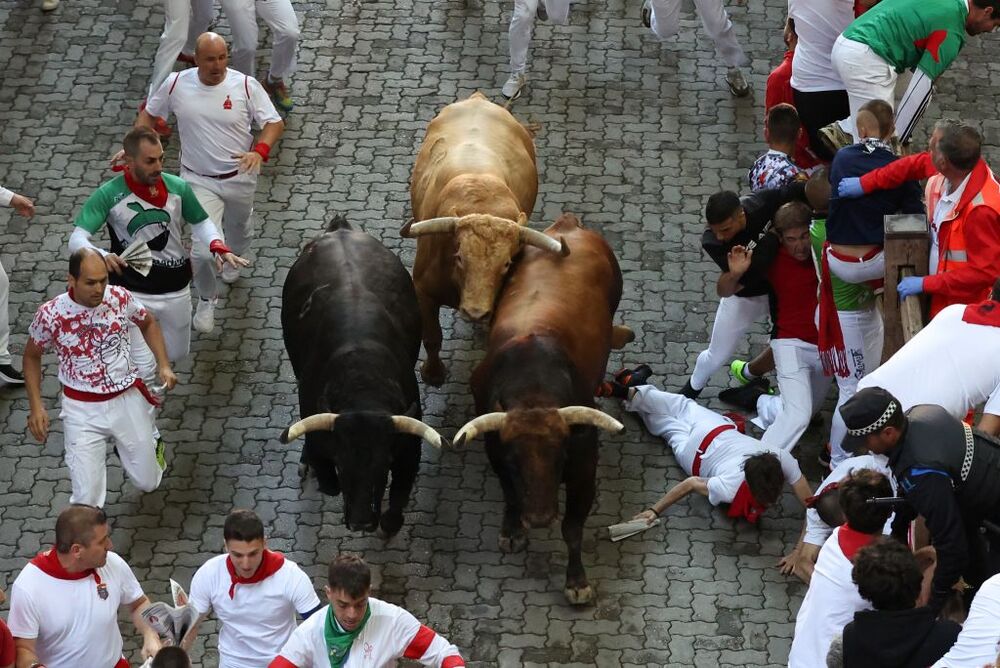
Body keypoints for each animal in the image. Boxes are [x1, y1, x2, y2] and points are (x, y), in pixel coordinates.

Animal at [280, 217, 440, 536]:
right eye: (342, 465)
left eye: (383, 466)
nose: (361, 521)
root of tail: (340, 228)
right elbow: (328, 478)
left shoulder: (408, 451)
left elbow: (399, 497)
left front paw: (389, 523)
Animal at [402, 92, 568, 386]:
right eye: (459, 257)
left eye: (507, 264)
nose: (476, 312)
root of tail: (478, 99)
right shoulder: (423, 289)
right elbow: (432, 338)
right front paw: (433, 373)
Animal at [456, 213, 632, 604]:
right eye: (515, 459)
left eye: (559, 454)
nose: (537, 518)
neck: (532, 391)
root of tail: (568, 224)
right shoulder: (496, 456)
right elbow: (510, 495)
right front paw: (512, 530)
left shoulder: (583, 471)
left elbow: (572, 528)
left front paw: (577, 581)